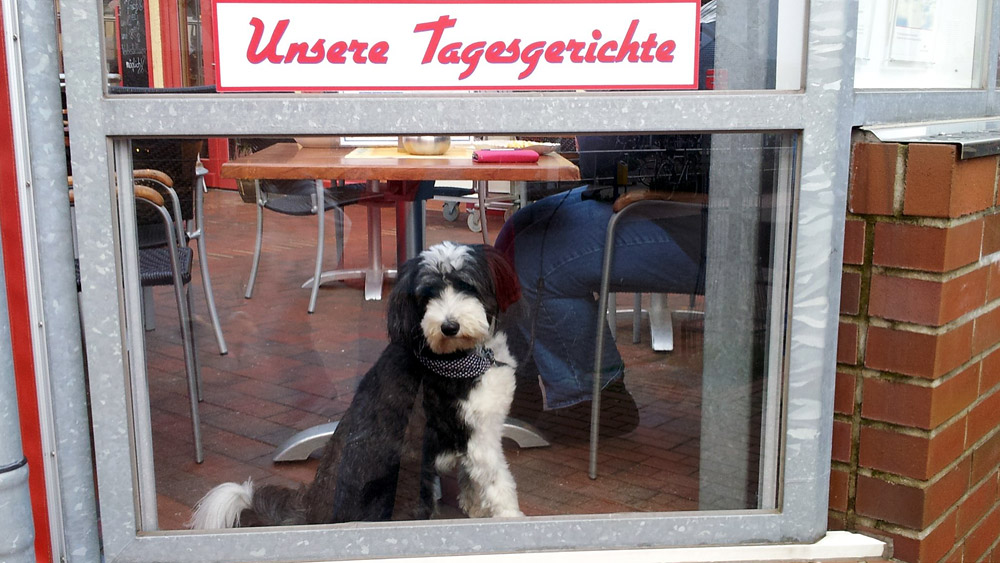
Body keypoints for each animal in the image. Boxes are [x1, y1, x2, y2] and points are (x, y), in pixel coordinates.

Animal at [188, 241, 523, 529]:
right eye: (427, 295)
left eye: (467, 286)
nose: (449, 326)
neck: (465, 356)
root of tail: (312, 514)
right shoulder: (478, 436)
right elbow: (499, 482)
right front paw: (510, 517)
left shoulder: (475, 434)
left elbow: (474, 479)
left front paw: (476, 508)